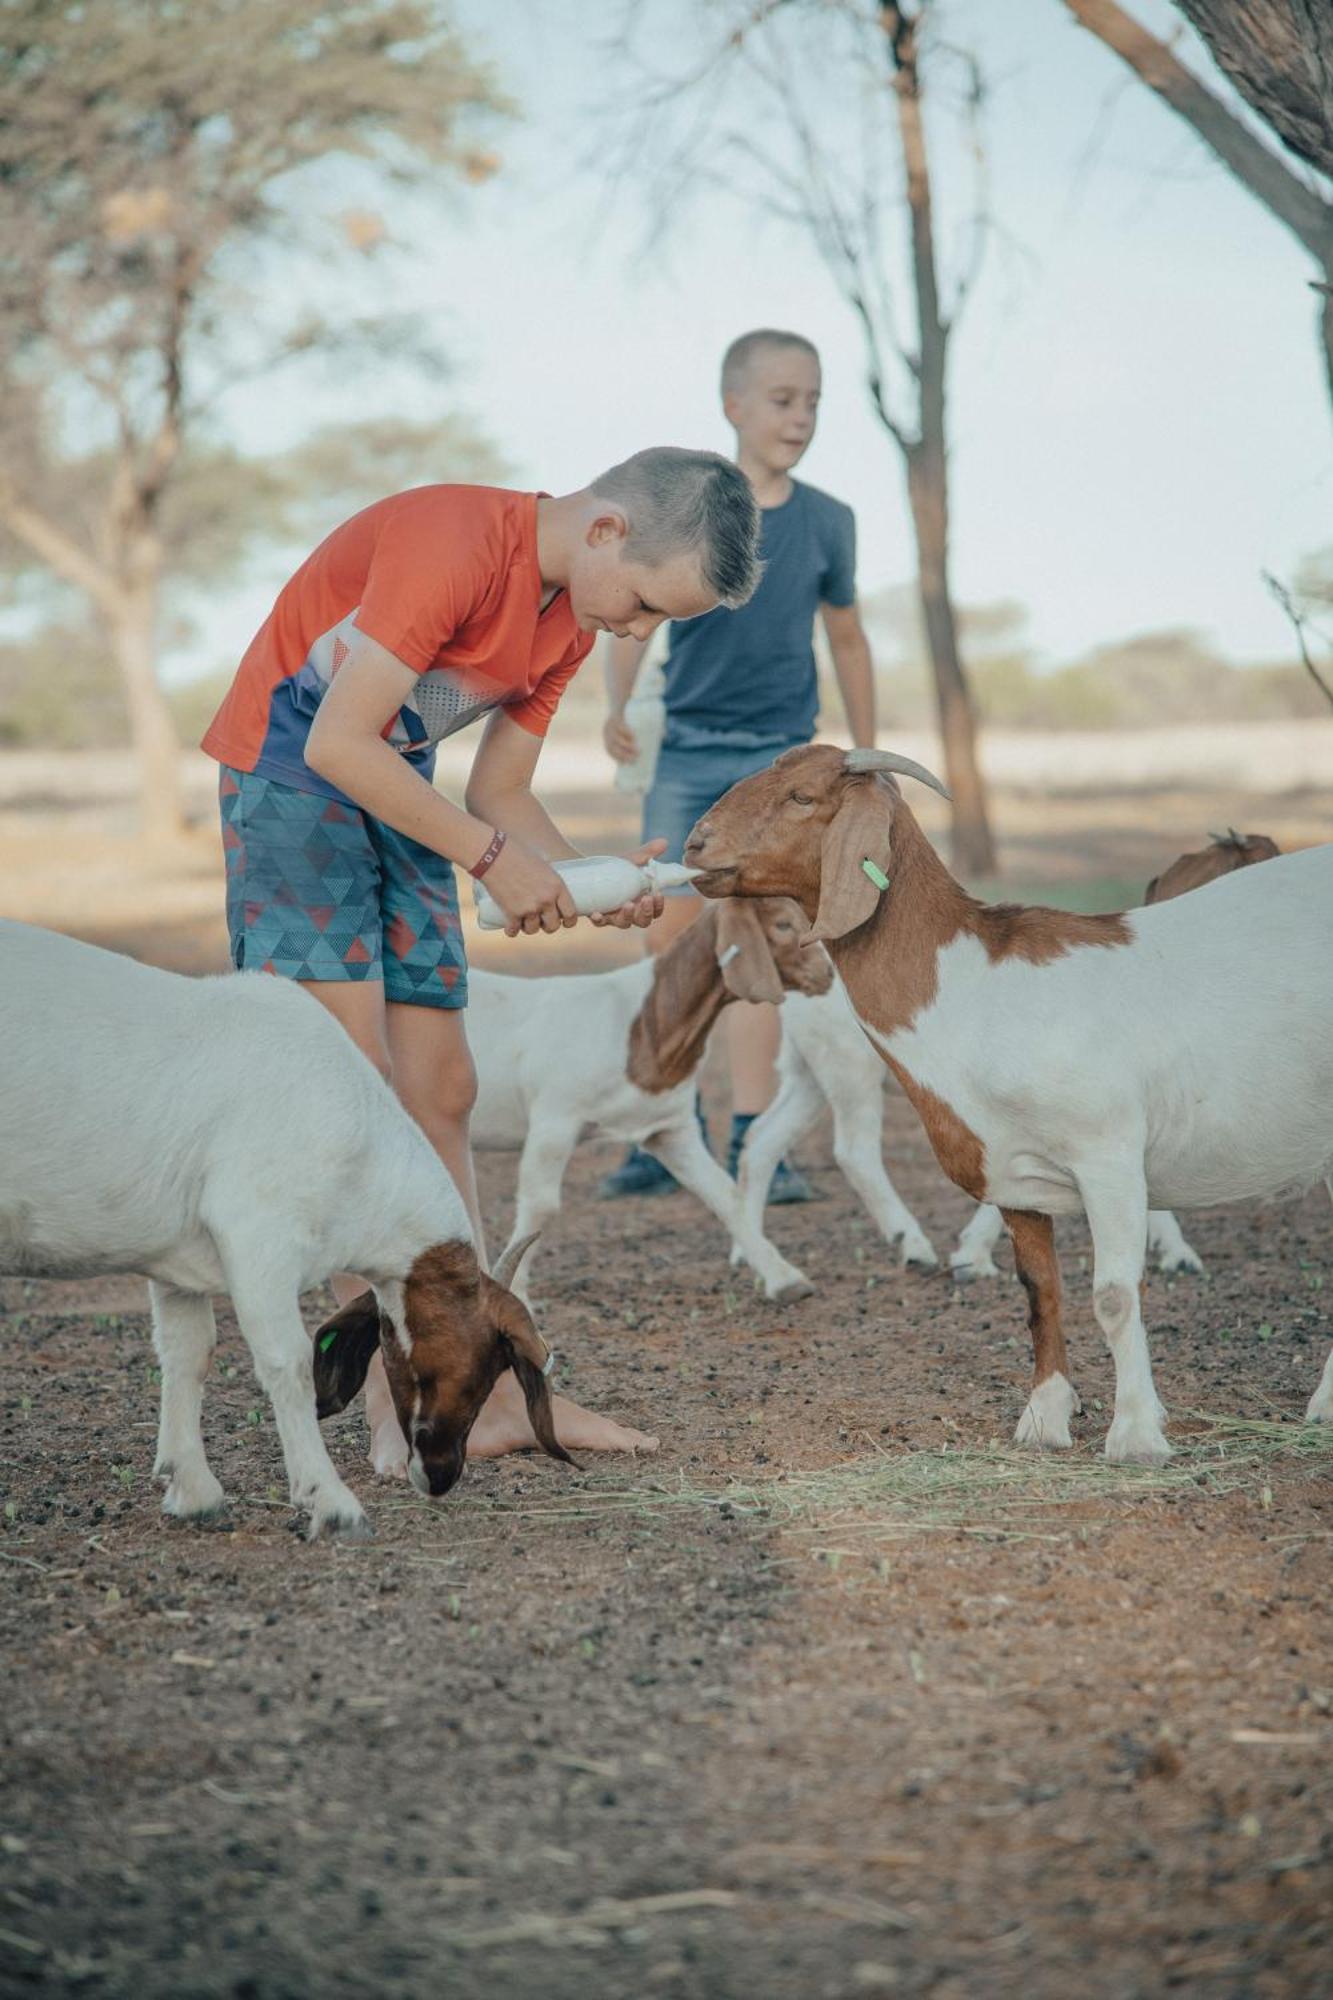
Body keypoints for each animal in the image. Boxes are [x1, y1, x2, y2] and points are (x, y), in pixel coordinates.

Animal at [0, 916, 564, 1536]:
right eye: (483, 1368)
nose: (441, 1473)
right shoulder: (257, 1233)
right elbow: (287, 1361)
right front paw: (331, 1502)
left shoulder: (178, 1265)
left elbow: (187, 1352)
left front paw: (193, 1489)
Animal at [684, 744, 1328, 1464]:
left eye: (801, 796)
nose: (694, 844)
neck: (974, 988)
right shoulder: (1012, 1172)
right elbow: (1039, 1291)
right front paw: (1045, 1418)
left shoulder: (1106, 1153)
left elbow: (1113, 1294)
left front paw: (1135, 1434)